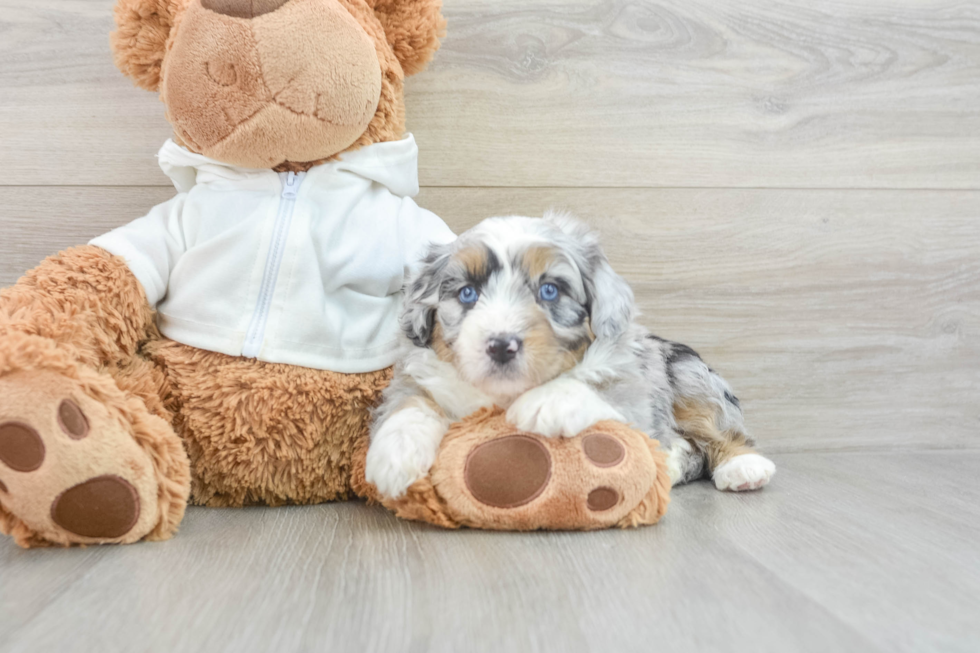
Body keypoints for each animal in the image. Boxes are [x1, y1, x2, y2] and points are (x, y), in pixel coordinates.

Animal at [364, 211, 776, 496]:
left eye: (549, 290)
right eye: (468, 293)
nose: (501, 344)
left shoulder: (635, 403)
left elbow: (595, 388)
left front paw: (545, 401)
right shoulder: (420, 379)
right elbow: (411, 403)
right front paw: (394, 456)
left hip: (689, 375)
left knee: (718, 429)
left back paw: (744, 467)